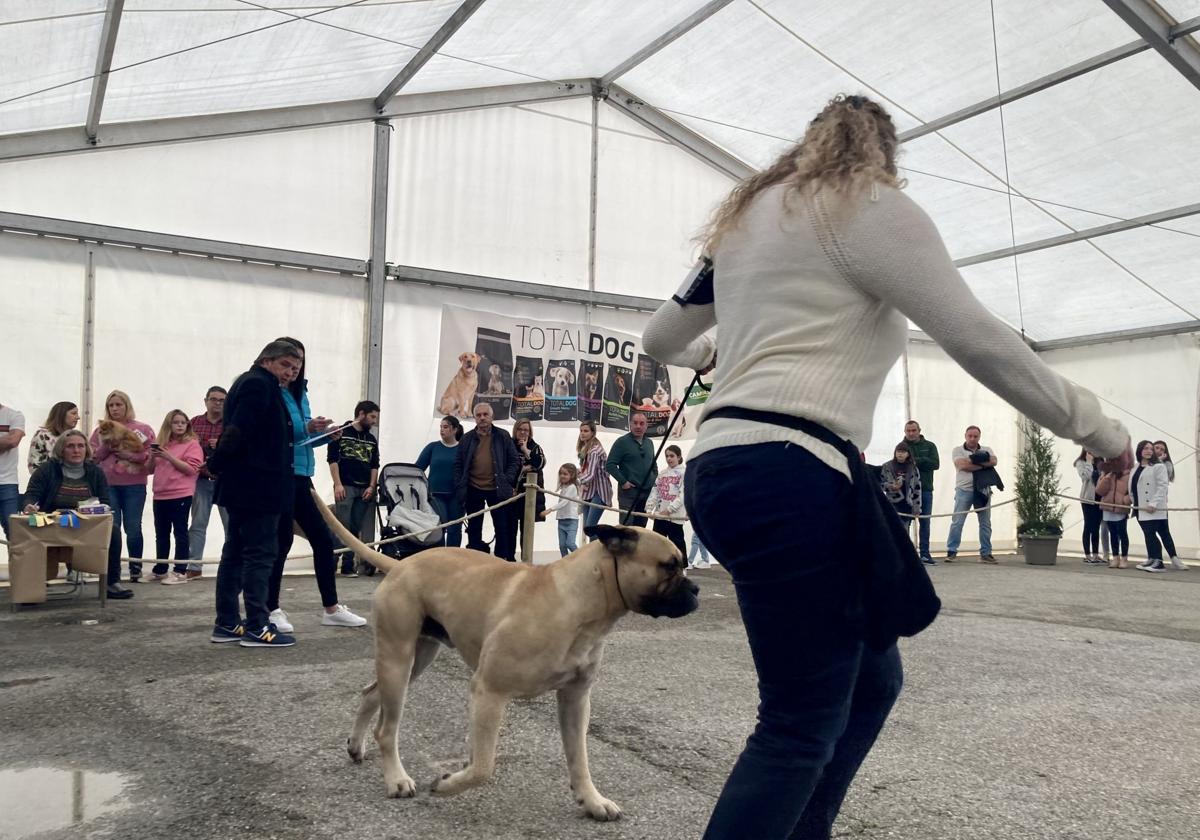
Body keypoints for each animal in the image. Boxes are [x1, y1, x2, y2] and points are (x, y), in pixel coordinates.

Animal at [314, 492, 700, 820]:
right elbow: (483, 767)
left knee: (370, 694)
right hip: (399, 657)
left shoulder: (575, 700)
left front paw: (592, 800)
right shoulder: (490, 691)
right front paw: (447, 784)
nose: (695, 589)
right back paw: (396, 779)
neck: (579, 603)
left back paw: (356, 746)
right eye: (669, 566)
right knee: (387, 728)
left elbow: (579, 759)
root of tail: (399, 565)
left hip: (415, 658)